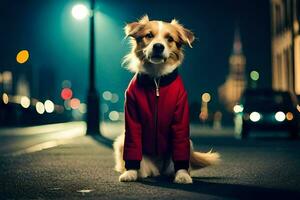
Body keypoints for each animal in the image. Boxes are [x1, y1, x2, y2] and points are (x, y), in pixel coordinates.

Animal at [113, 15, 220, 184]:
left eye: (170, 39)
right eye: (149, 35)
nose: (158, 46)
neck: (157, 79)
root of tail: (158, 169)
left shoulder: (180, 119)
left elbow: (180, 153)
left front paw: (182, 175)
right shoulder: (132, 117)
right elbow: (133, 145)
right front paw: (130, 172)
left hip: (188, 143)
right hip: (121, 142)